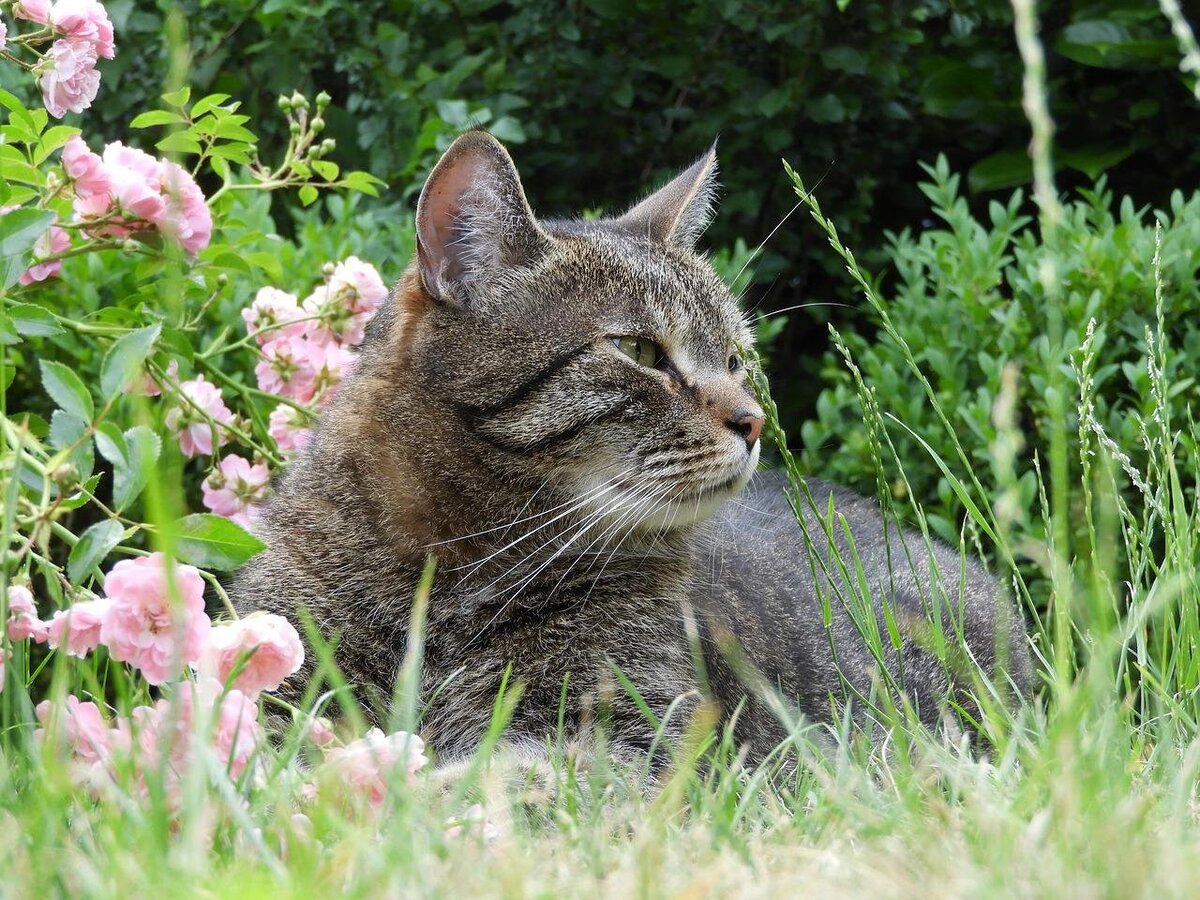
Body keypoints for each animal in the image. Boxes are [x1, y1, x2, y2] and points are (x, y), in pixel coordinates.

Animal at [231, 132, 1032, 768]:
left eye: (737, 360)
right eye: (640, 351)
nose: (754, 421)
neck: (447, 568)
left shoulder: (619, 736)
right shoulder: (274, 685)